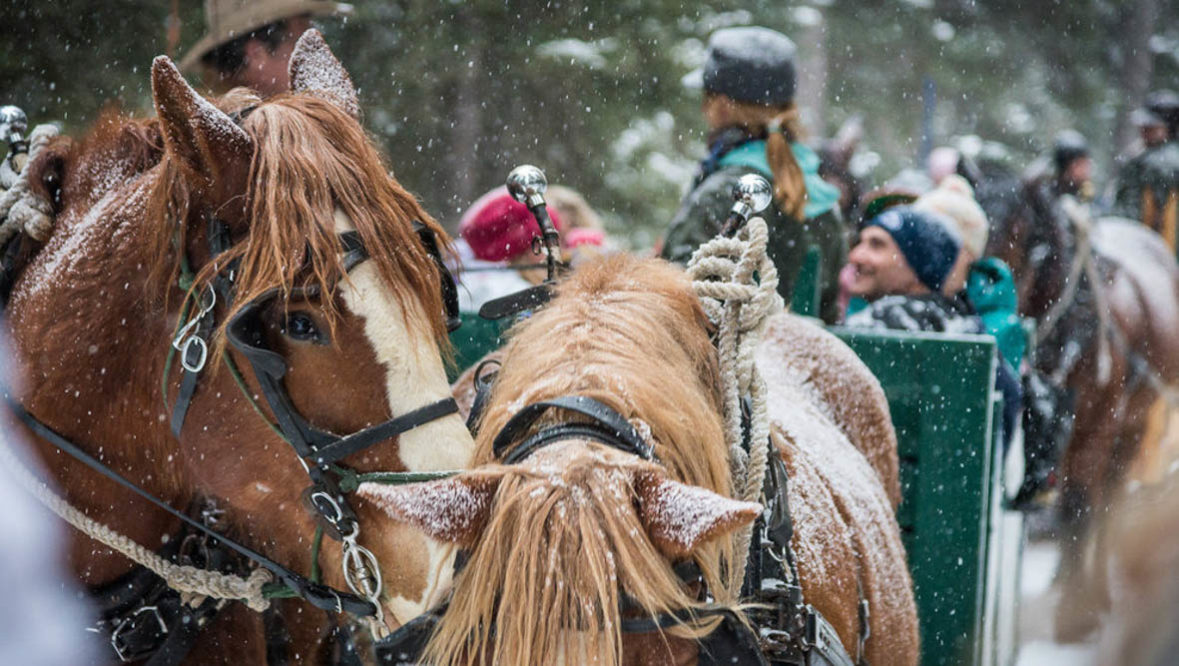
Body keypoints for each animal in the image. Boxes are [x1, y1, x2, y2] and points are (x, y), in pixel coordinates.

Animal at [980, 163, 1179, 640]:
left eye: (1019, 229)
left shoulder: (1099, 422)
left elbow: (1080, 504)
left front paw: (1077, 613)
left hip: (1133, 424)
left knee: (1107, 496)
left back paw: (1096, 585)